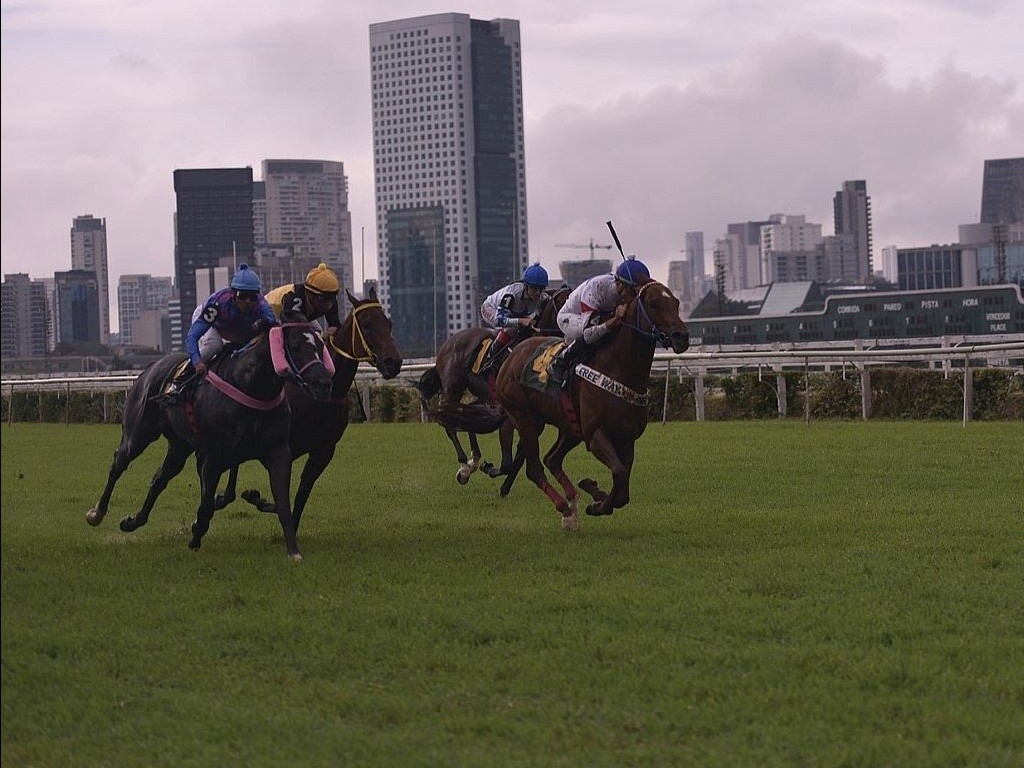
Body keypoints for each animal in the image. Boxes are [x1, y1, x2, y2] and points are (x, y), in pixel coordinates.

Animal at [84, 315, 331, 561]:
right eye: (295, 346)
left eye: (321, 346)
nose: (323, 383)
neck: (251, 386)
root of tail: (150, 368)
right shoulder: (213, 456)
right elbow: (206, 506)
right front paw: (195, 537)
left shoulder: (277, 451)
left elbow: (283, 503)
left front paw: (293, 551)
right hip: (138, 434)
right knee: (119, 463)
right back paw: (97, 512)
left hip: (179, 445)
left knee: (160, 478)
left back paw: (134, 521)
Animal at [493, 280, 692, 532]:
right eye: (654, 303)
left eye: (676, 302)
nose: (681, 337)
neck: (618, 369)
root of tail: (511, 357)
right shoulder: (596, 434)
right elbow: (619, 473)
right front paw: (596, 503)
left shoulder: (626, 439)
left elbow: (622, 489)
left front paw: (595, 493)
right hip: (527, 419)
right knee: (535, 469)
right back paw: (565, 508)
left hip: (570, 428)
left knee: (552, 459)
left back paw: (573, 501)